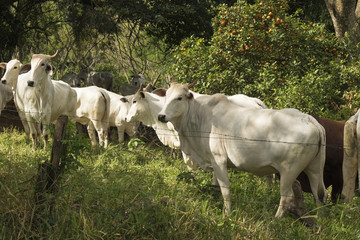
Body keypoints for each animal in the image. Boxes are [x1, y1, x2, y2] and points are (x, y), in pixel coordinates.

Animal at [158, 81, 326, 218]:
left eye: (179, 98)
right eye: (166, 96)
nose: (161, 116)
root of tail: (307, 118)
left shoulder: (219, 160)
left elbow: (225, 190)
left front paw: (227, 214)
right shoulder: (213, 162)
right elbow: (215, 186)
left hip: (289, 171)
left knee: (287, 196)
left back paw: (276, 219)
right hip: (314, 169)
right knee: (318, 194)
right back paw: (319, 219)